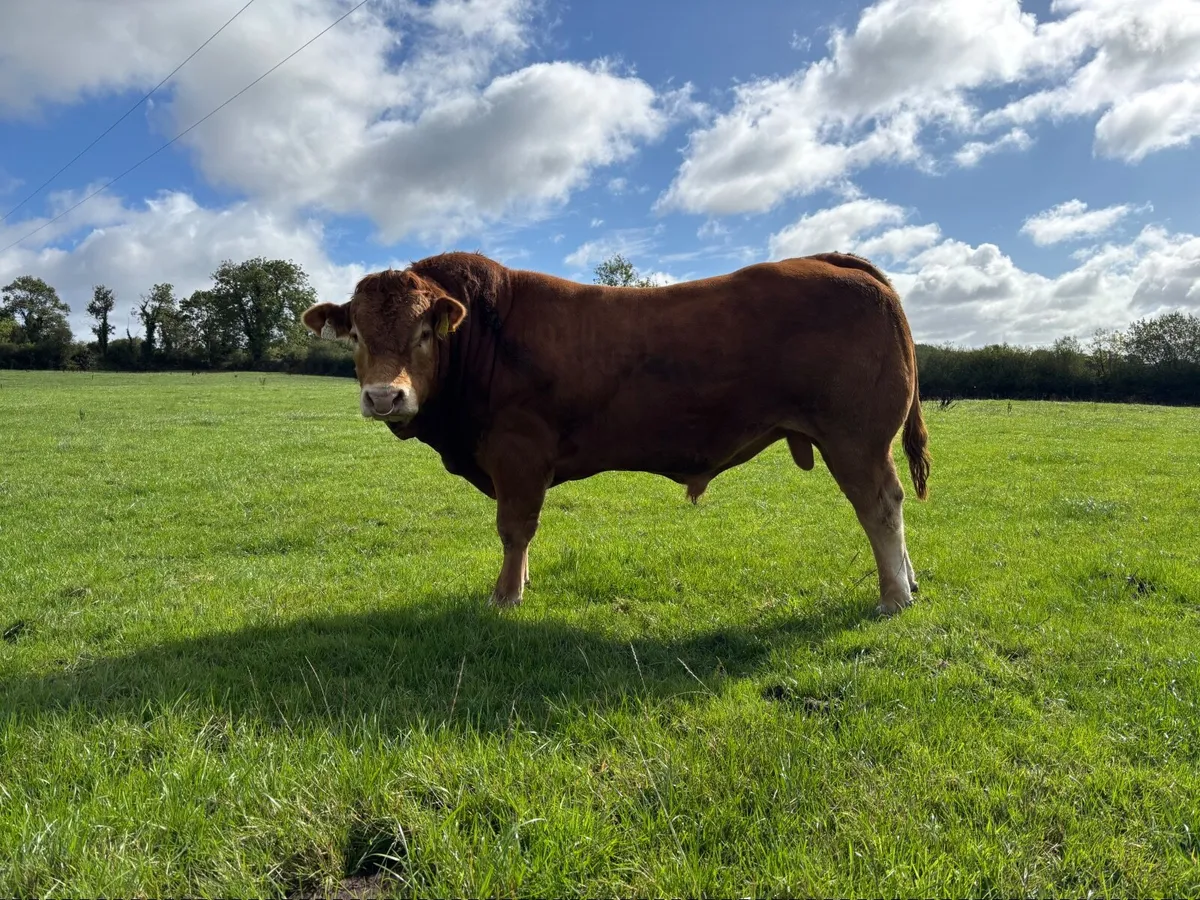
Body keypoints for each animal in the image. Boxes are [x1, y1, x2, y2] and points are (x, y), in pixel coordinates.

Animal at [302, 251, 931, 615]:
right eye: (357, 334)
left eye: (424, 333)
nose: (385, 397)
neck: (485, 335)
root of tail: (835, 263)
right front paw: (520, 583)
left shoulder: (518, 453)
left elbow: (514, 528)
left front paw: (505, 595)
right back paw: (909, 582)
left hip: (855, 439)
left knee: (881, 506)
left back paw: (893, 596)